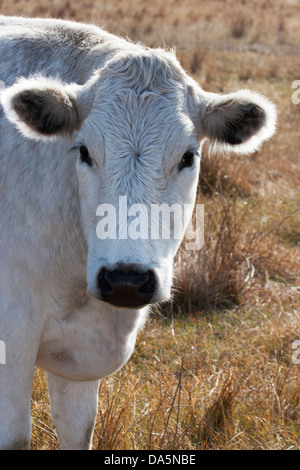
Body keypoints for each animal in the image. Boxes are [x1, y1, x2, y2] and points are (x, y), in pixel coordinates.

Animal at [0, 15, 276, 448]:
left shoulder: (77, 360)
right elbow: (15, 436)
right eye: (83, 151)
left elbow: (79, 429)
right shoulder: (13, 338)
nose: (126, 280)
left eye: (188, 157)